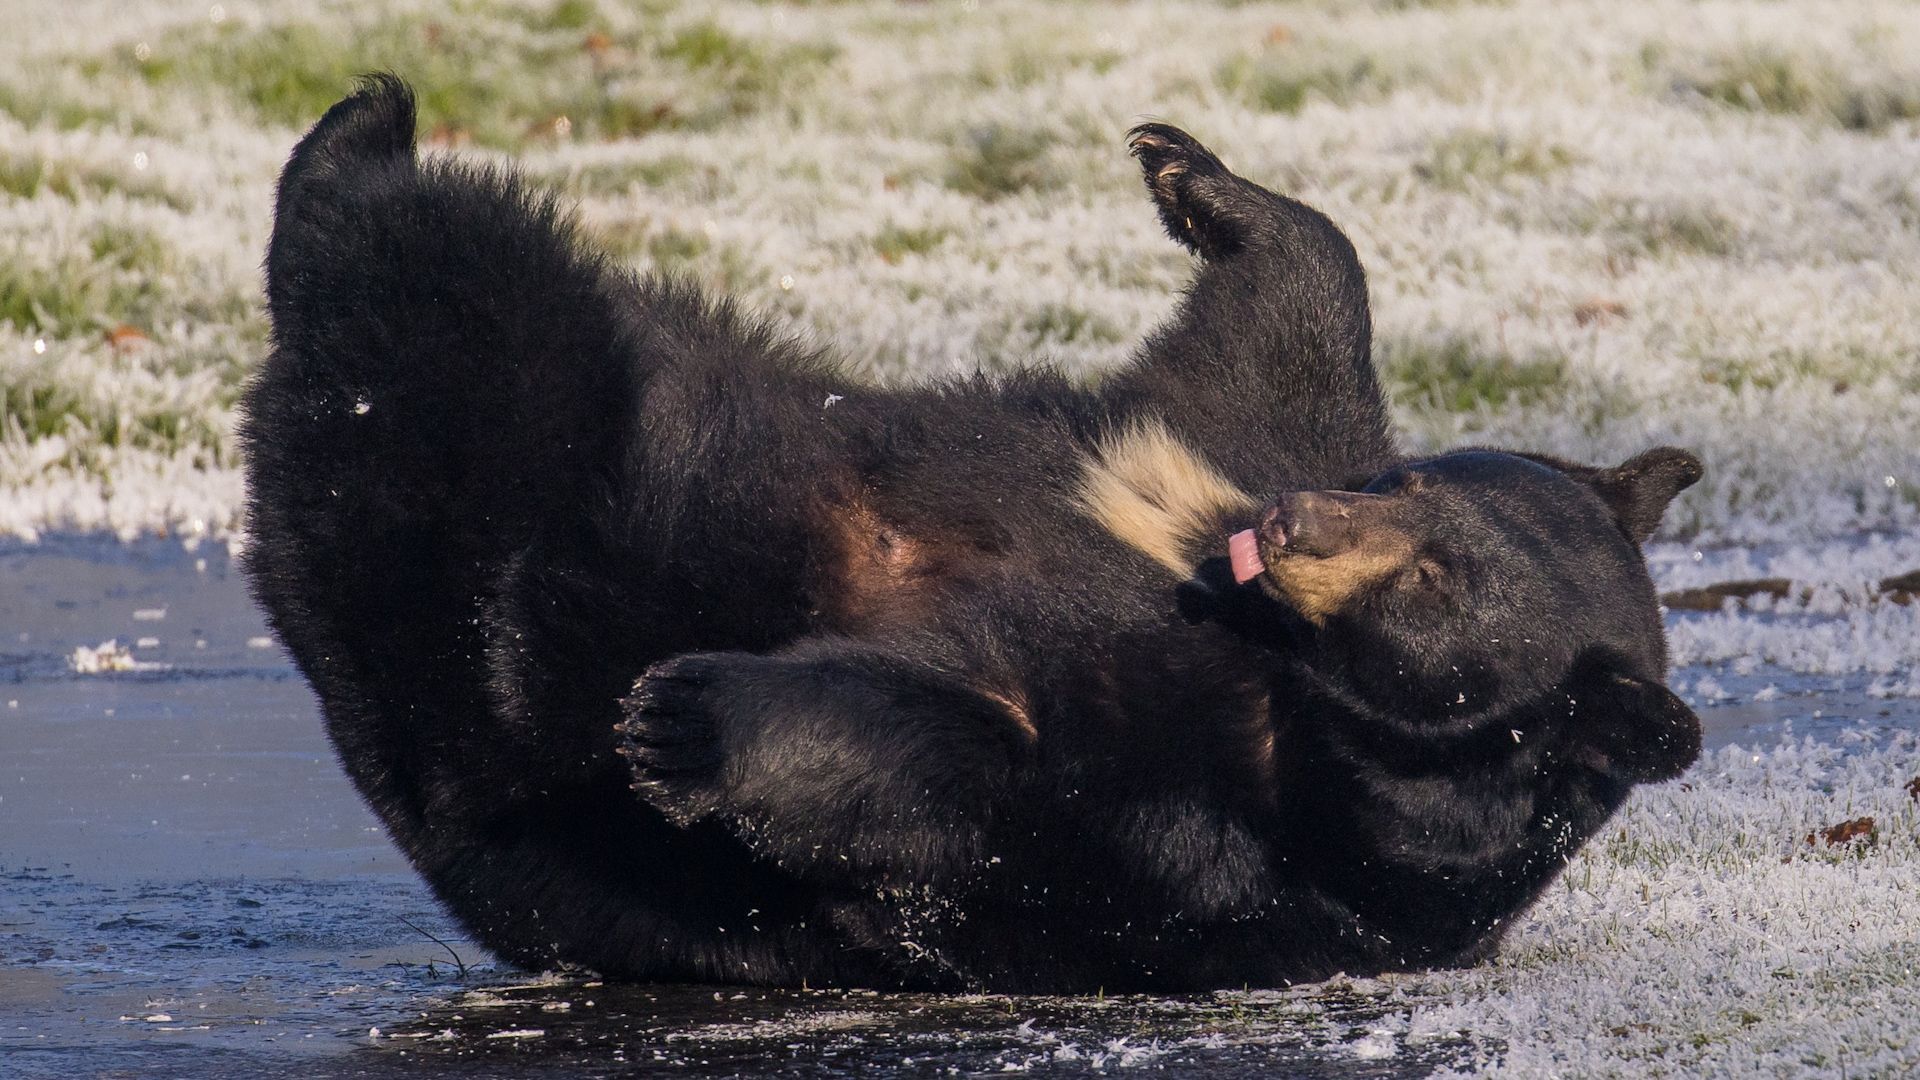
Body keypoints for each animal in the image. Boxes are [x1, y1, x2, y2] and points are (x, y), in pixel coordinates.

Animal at [243, 71, 1712, 991]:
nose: (1292, 530)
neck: (1287, 683)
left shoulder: (1220, 826)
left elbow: (978, 769)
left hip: (544, 456)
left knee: (459, 308)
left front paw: (688, 718)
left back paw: (363, 174)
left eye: (1435, 585)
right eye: (1414, 503)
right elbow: (1286, 334)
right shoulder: (1219, 450)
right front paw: (1186, 168)